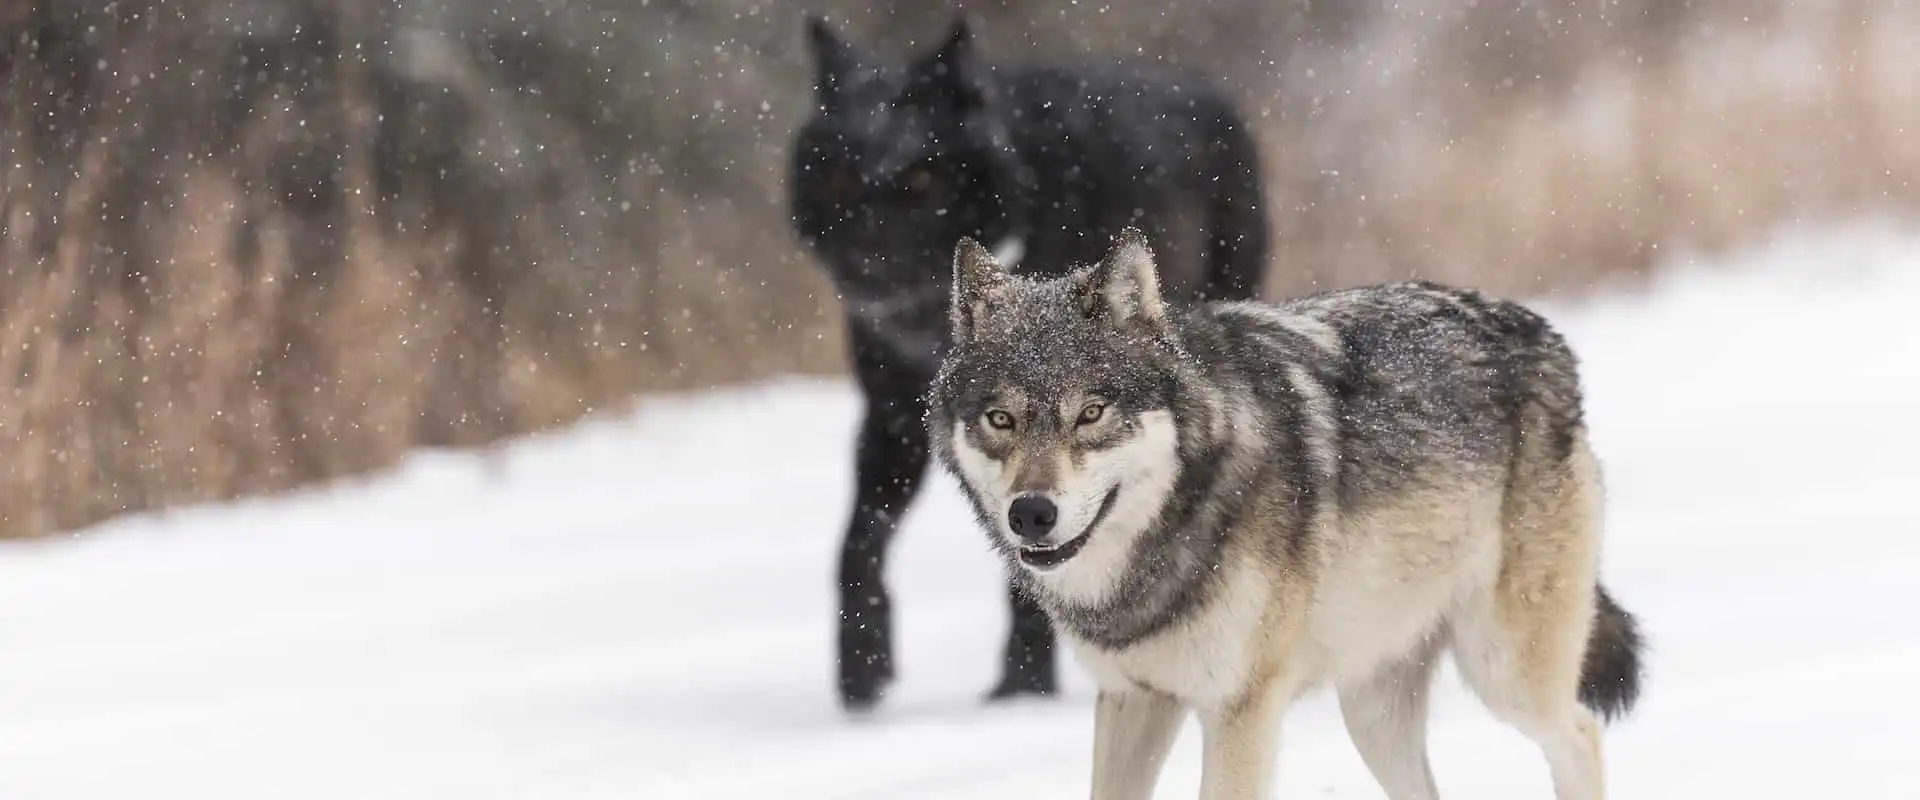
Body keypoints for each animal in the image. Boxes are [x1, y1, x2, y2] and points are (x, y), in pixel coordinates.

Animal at [789, 16, 1272, 710]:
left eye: (919, 181)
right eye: (839, 181)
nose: (862, 266)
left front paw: (1021, 686)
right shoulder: (895, 413)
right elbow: (858, 541)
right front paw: (862, 674)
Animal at [928, 229, 1645, 799]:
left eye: (1091, 414)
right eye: (1001, 420)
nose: (1031, 514)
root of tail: (1539, 329)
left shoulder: (1240, 710)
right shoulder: (1134, 699)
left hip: (1506, 672)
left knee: (1579, 734)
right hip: (1373, 712)